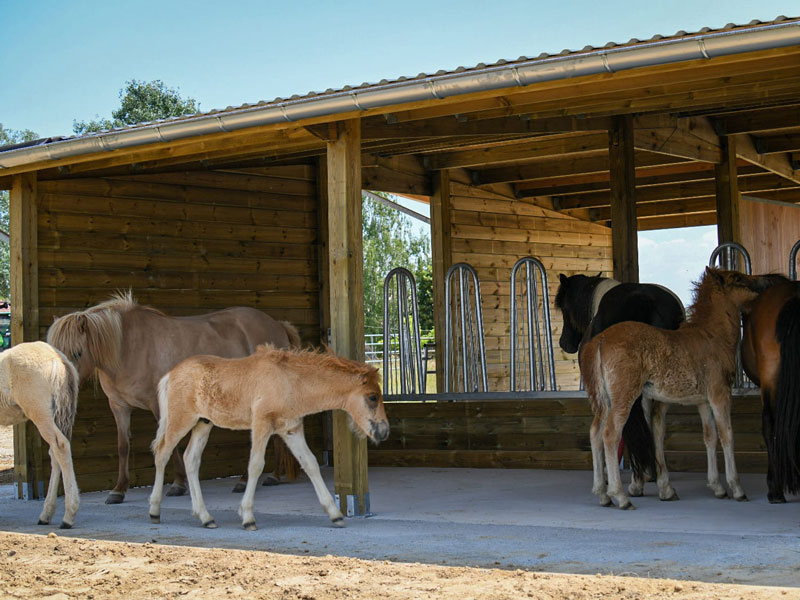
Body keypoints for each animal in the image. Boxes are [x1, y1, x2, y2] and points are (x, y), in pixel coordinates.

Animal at [0, 340, 80, 528]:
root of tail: (58, 359)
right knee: (55, 453)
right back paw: (46, 515)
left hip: (40, 414)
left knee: (60, 447)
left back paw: (68, 516)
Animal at [150, 344, 390, 532]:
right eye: (372, 397)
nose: (384, 431)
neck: (290, 382)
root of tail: (170, 374)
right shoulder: (261, 424)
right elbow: (256, 465)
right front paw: (248, 517)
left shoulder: (291, 429)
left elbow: (311, 463)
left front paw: (335, 515)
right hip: (181, 421)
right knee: (162, 453)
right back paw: (154, 511)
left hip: (203, 423)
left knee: (191, 459)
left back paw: (206, 517)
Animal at [556, 274, 688, 496]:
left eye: (565, 308)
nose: (564, 343)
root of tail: (641, 301)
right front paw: (649, 471)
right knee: (657, 424)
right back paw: (662, 483)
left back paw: (636, 482)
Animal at [580, 270, 772, 508]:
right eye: (737, 278)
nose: (766, 281)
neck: (713, 337)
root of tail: (600, 341)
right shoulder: (720, 394)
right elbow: (727, 435)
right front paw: (736, 489)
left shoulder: (702, 401)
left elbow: (709, 436)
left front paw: (717, 487)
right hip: (623, 397)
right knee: (610, 434)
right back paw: (621, 497)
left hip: (603, 400)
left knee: (595, 433)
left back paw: (603, 494)